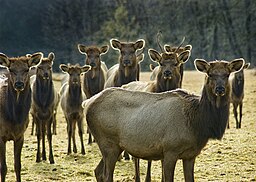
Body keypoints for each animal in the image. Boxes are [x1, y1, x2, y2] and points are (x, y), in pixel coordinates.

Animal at [0, 52, 42, 181]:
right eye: (11, 69)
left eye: (27, 69)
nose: (19, 84)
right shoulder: (0, 136)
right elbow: (3, 168)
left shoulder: (20, 136)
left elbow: (17, 166)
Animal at [83, 58, 244, 181]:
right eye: (210, 74)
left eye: (227, 74)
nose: (220, 89)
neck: (197, 123)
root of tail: (87, 103)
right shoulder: (170, 150)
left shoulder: (191, 155)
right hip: (107, 141)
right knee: (106, 175)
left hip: (114, 146)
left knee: (98, 171)